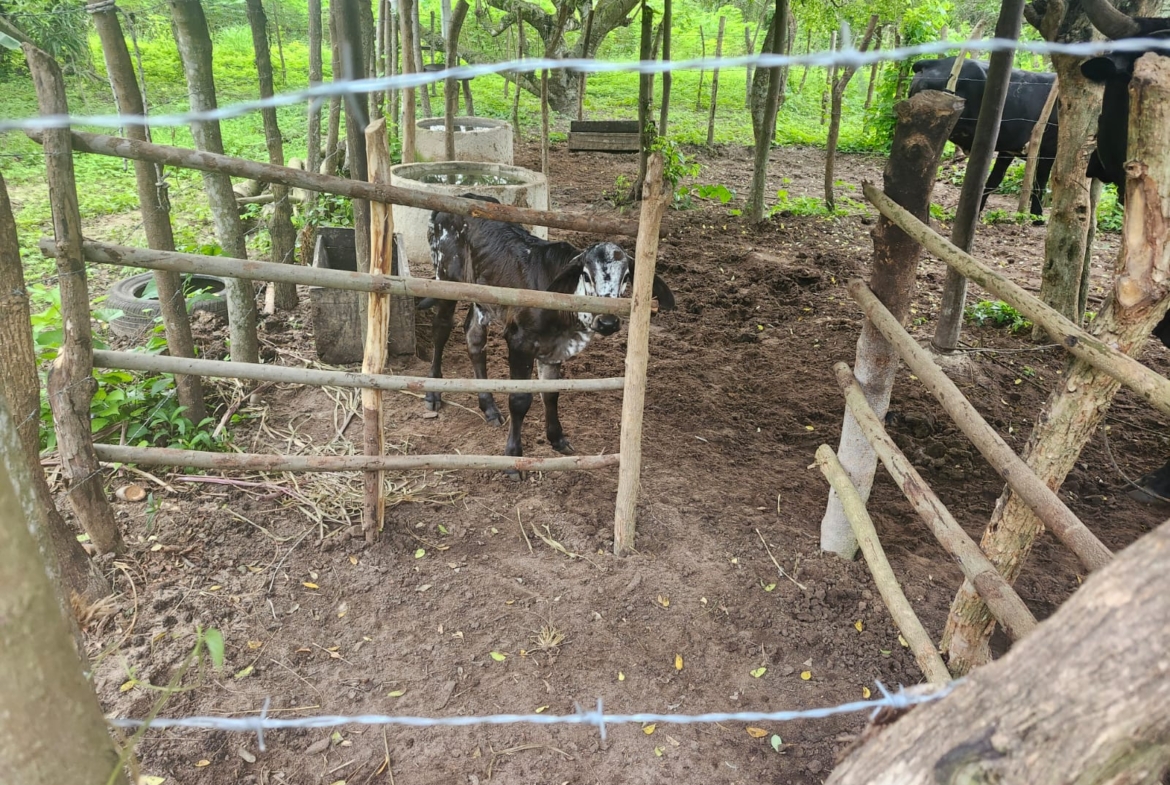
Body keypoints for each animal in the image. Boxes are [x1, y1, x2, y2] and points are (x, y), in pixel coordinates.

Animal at [422, 196, 675, 478]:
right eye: (586, 275)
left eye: (627, 277)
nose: (608, 321)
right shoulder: (518, 341)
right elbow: (520, 400)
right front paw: (513, 457)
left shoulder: (553, 349)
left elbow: (551, 393)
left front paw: (557, 438)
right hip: (445, 279)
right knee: (441, 329)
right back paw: (433, 392)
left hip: (481, 298)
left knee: (474, 337)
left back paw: (488, 406)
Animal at [909, 57, 1059, 217]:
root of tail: (932, 62)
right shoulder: (1048, 149)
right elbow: (1040, 184)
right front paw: (1037, 216)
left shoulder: (1009, 150)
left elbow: (993, 180)